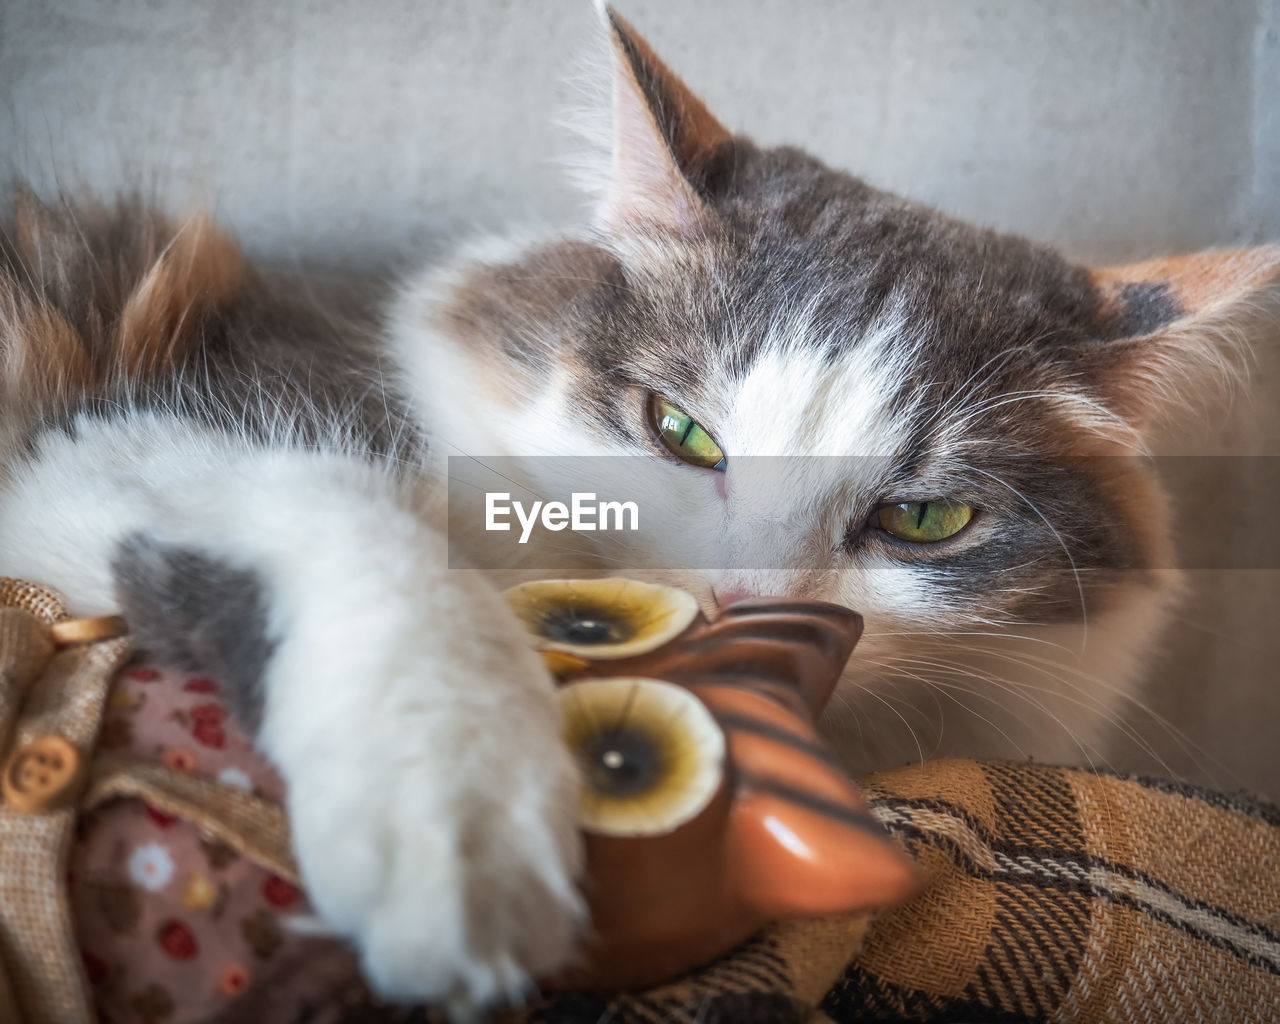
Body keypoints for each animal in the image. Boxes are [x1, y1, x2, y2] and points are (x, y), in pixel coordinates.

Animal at [2, 6, 1280, 1013]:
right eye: (680, 431)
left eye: (921, 521)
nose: (736, 599)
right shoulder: (130, 432)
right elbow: (378, 547)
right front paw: (458, 835)